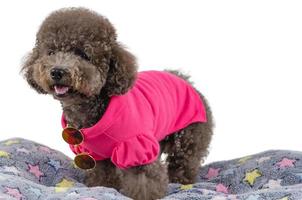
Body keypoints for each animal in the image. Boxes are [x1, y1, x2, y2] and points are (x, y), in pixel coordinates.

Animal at [21, 7, 214, 200]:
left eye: (83, 54)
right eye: (51, 52)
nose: (57, 71)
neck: (91, 109)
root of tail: (185, 80)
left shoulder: (137, 148)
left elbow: (143, 179)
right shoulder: (96, 156)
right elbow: (103, 176)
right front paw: (104, 188)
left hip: (189, 136)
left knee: (184, 163)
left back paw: (181, 182)